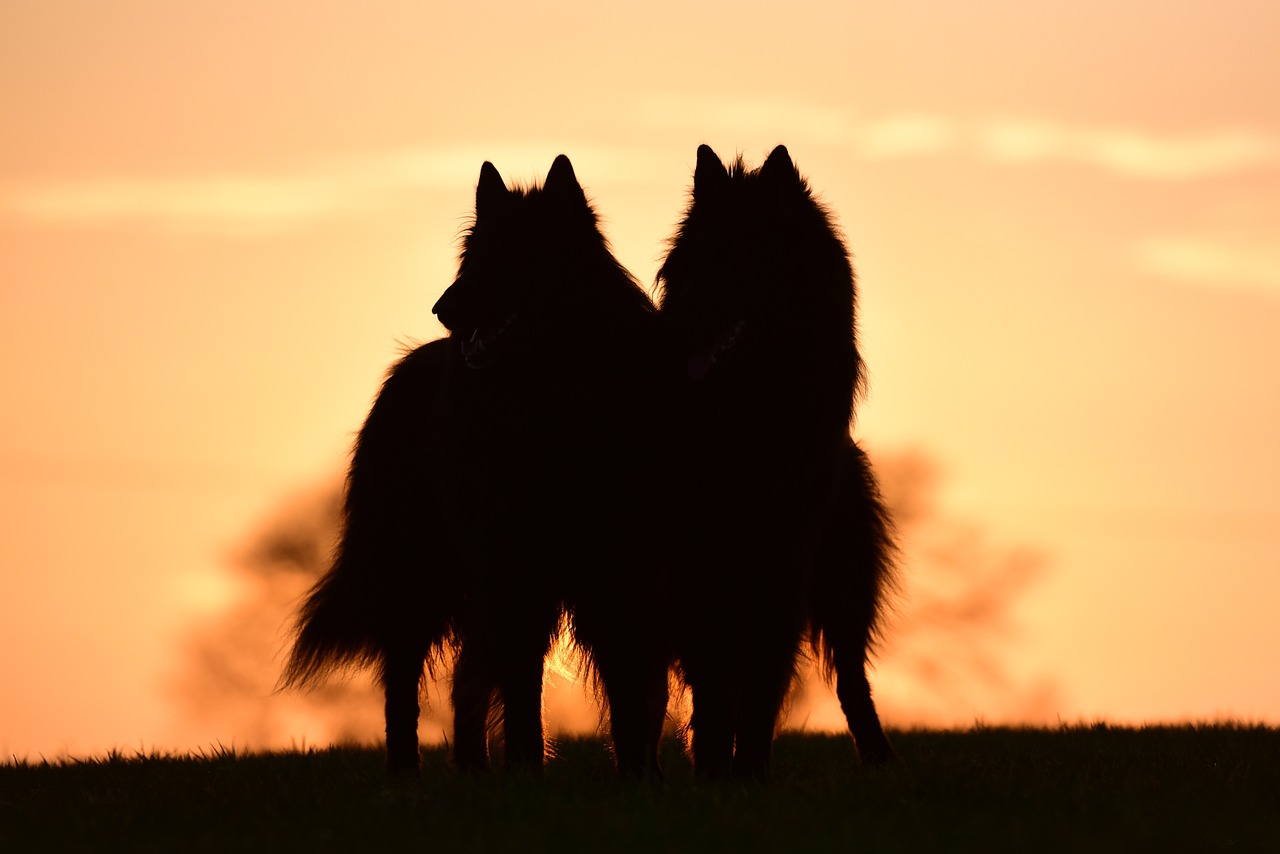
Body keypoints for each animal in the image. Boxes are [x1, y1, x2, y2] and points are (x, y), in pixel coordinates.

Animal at [285, 155, 670, 783]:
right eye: (472, 256)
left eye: (509, 254)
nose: (442, 310)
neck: (554, 400)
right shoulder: (517, 570)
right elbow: (522, 688)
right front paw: (528, 773)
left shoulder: (614, 567)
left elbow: (631, 685)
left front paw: (641, 776)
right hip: (419, 575)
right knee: (404, 682)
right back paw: (406, 776)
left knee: (467, 678)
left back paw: (471, 769)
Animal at [660, 147, 890, 783]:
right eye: (689, 261)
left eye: (735, 256)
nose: (668, 331)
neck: (750, 420)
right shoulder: (701, 564)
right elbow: (715, 686)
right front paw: (714, 774)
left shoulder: (782, 561)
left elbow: (761, 684)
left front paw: (751, 775)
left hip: (843, 579)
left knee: (853, 679)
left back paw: (880, 759)